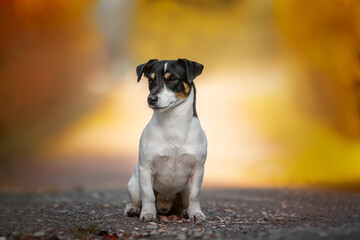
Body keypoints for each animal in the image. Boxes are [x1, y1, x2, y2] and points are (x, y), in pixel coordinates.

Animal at [124, 58, 207, 223]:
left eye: (172, 79)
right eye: (151, 80)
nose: (151, 99)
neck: (173, 124)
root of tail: (165, 205)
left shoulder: (198, 169)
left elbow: (195, 195)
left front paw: (196, 213)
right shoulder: (146, 169)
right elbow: (148, 195)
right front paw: (148, 213)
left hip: (184, 189)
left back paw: (186, 211)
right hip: (134, 186)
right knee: (133, 201)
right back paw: (133, 209)